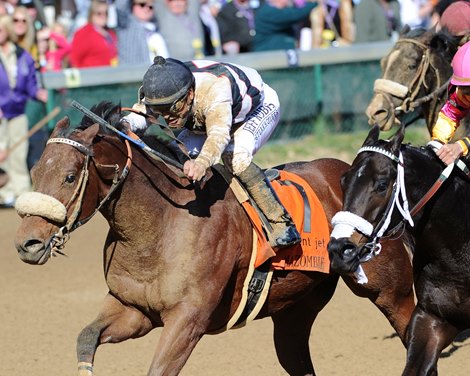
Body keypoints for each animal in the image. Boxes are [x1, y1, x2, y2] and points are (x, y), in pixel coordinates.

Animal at [13, 103, 412, 376]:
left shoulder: (188, 320)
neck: (158, 226)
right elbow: (86, 337)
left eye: (69, 176)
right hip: (295, 311)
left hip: (391, 291)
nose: (26, 243)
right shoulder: (134, 309)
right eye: (35, 170)